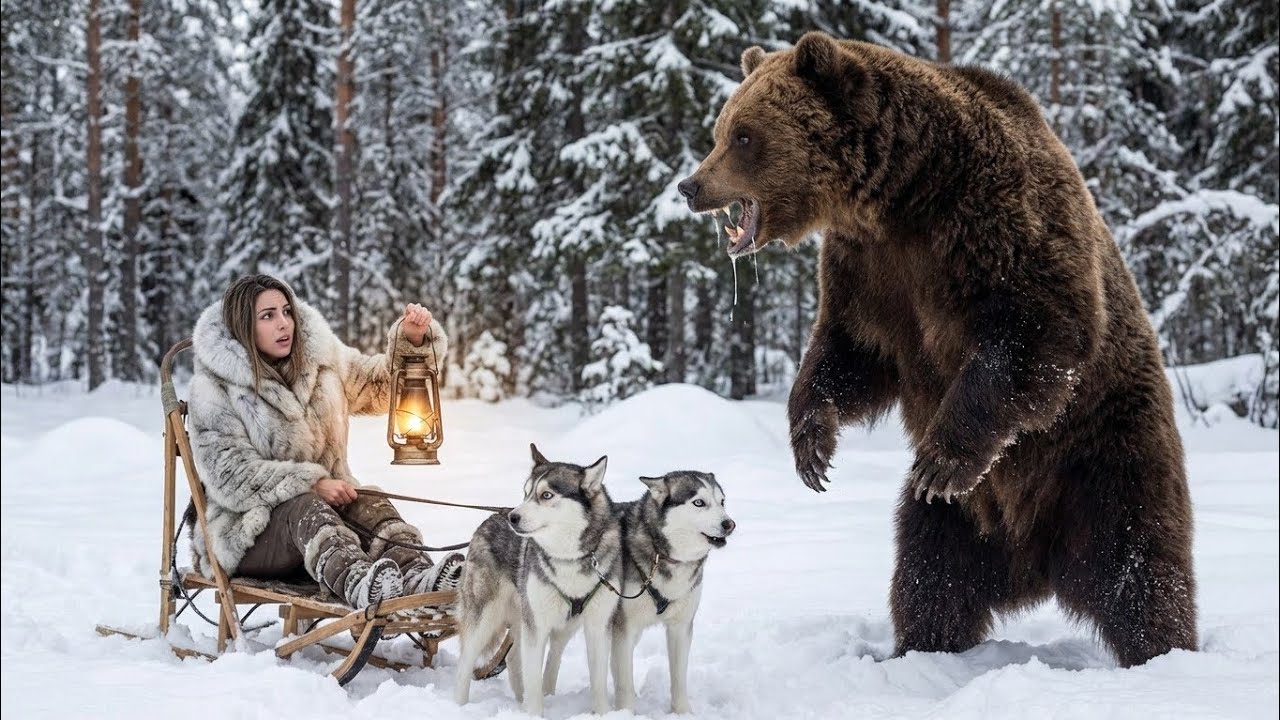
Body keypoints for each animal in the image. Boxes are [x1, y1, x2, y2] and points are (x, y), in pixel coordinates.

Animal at [677, 32, 1197, 667]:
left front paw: (942, 457)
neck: (902, 195)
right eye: (721, 129)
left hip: (1104, 450)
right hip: (967, 516)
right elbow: (851, 354)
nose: (691, 186)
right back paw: (919, 649)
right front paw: (812, 449)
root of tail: (1035, 560)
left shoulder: (996, 223)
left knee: (1138, 563)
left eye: (744, 136)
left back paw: (1162, 652)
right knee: (931, 568)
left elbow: (1039, 329)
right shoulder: (871, 272)